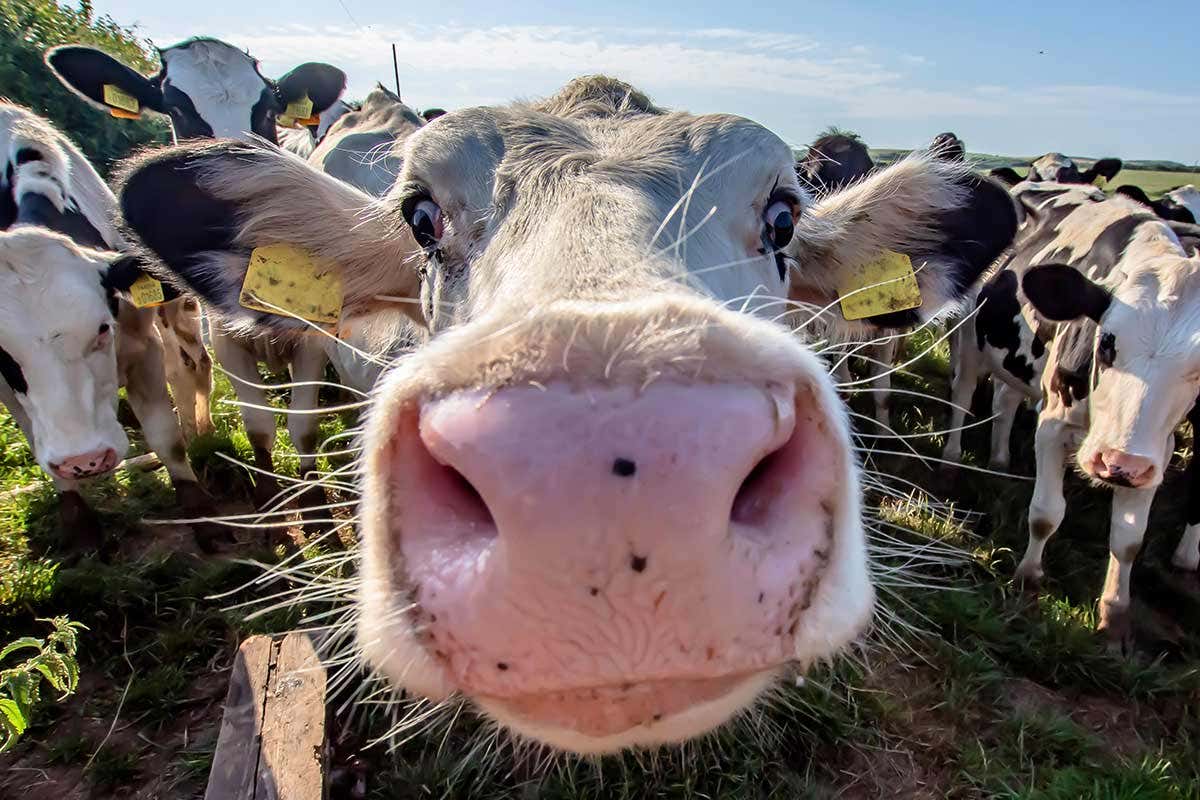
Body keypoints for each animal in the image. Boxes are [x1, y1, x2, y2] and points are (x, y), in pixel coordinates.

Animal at [0, 102, 219, 548]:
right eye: (1, 351)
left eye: (102, 328)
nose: (85, 461)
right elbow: (35, 437)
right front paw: (79, 523)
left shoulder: (143, 344)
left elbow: (166, 436)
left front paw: (202, 515)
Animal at [46, 37, 349, 512]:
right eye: (176, 109)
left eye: (267, 108)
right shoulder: (226, 340)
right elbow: (258, 424)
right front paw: (269, 497)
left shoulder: (313, 340)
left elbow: (304, 426)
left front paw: (314, 499)